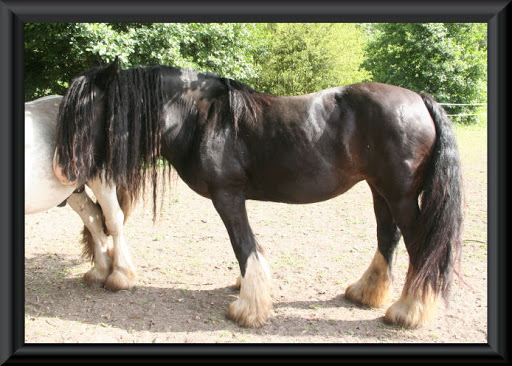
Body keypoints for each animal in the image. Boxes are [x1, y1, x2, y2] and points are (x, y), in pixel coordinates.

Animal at [54, 58, 462, 328]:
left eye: (83, 111)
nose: (63, 171)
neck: (201, 119)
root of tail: (420, 99)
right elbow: (250, 250)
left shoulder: (228, 197)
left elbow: (244, 246)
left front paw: (247, 309)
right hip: (380, 190)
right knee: (387, 238)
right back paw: (366, 293)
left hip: (402, 196)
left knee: (420, 247)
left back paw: (408, 312)